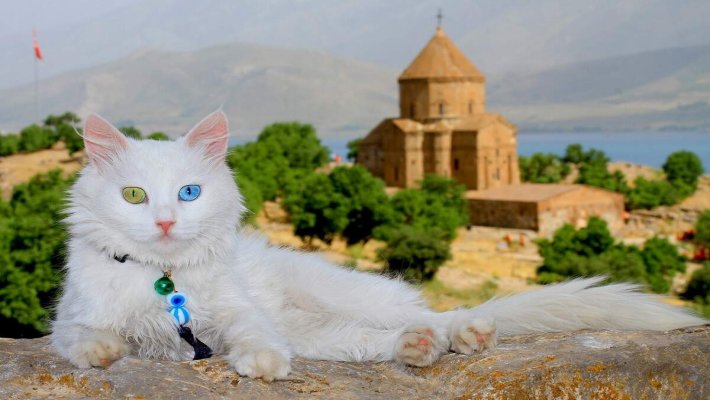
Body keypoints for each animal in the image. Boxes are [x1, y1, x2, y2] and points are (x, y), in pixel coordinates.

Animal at [52, 111, 708, 382]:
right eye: (135, 195)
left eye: (189, 192)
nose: (165, 222)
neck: (166, 281)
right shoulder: (72, 318)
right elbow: (85, 337)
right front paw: (105, 352)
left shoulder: (239, 313)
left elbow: (254, 336)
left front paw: (261, 365)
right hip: (326, 334)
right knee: (383, 340)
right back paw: (420, 349)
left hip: (353, 297)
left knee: (438, 313)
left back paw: (467, 334)